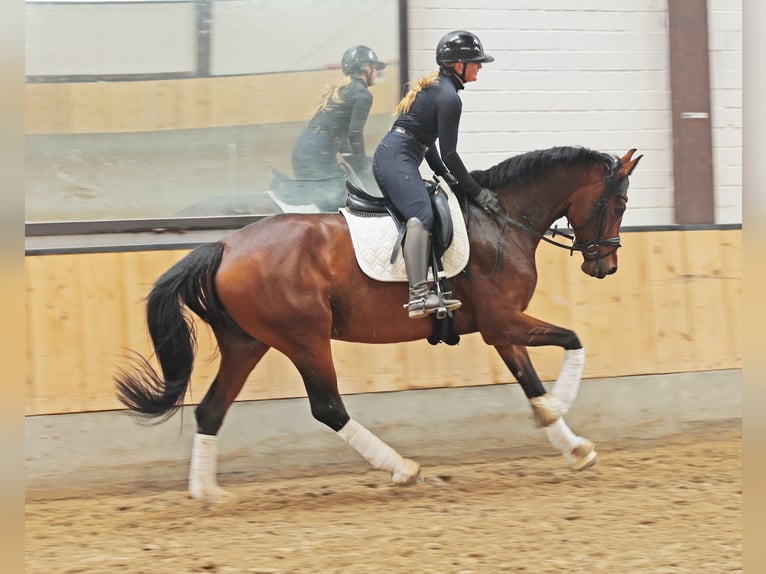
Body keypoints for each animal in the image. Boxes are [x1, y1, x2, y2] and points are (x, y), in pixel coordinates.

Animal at [115, 145, 642, 502]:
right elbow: (573, 341)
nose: (606, 266)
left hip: (248, 344)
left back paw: (207, 493)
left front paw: (573, 446)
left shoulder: (501, 327)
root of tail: (225, 245)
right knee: (327, 407)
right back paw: (404, 468)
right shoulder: (503, 322)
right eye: (618, 205)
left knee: (211, 410)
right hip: (304, 338)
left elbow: (531, 381)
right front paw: (562, 405)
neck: (502, 221)